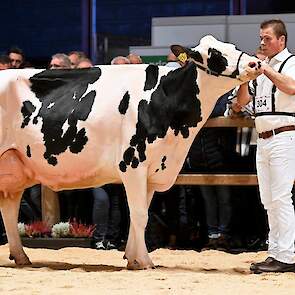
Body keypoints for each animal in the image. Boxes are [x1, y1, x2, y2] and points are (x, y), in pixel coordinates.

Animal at [0, 35, 262, 270]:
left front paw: (132, 257)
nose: (255, 63)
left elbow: (141, 215)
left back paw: (21, 256)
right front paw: (144, 261)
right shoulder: (133, 164)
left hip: (15, 170)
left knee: (9, 210)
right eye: (214, 54)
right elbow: (139, 215)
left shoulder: (153, 171)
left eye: (233, 46)